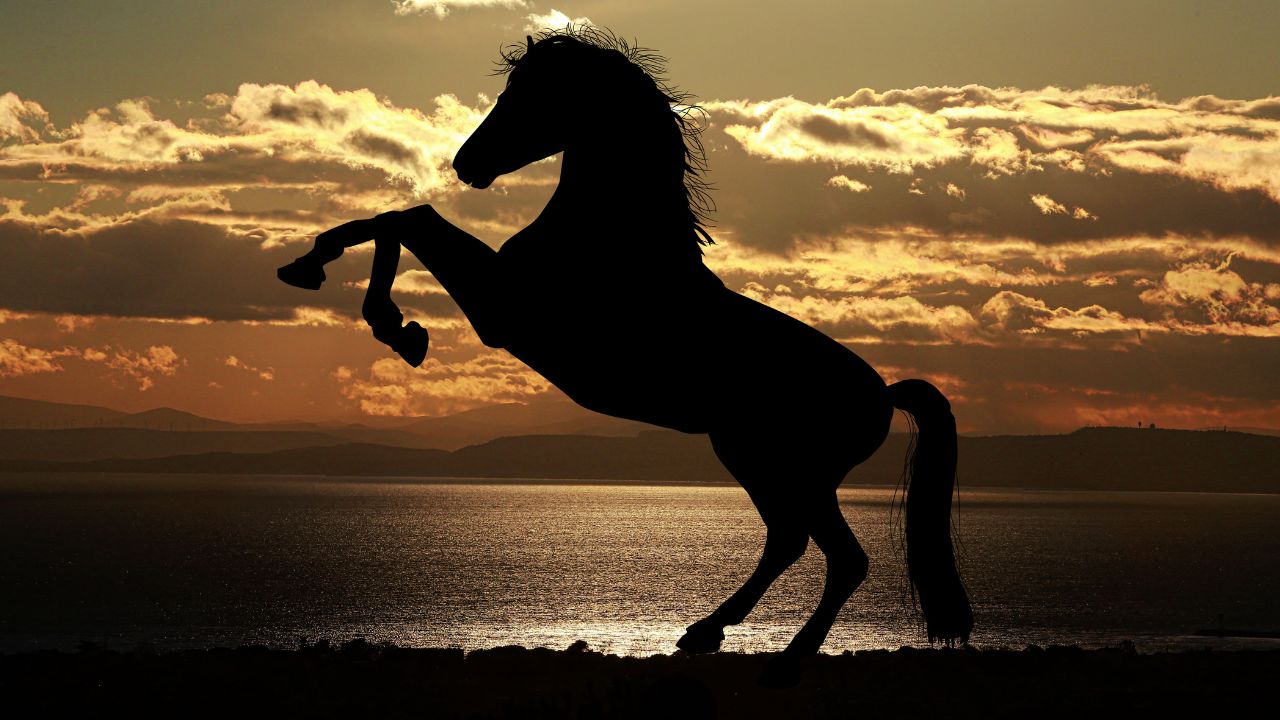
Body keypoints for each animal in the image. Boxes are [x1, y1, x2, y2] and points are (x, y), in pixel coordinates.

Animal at [277, 27, 972, 684]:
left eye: (532, 94)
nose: (467, 162)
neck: (611, 239)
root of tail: (882, 394)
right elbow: (397, 217)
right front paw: (321, 274)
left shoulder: (502, 310)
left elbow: (408, 218)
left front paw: (390, 322)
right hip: (756, 459)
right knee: (788, 541)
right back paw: (705, 632)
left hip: (786, 467)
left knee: (840, 558)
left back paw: (781, 663)